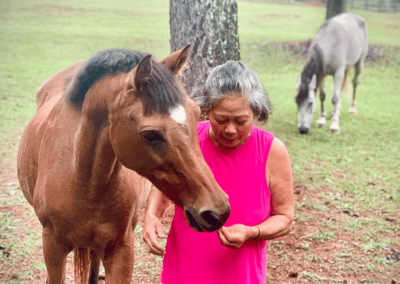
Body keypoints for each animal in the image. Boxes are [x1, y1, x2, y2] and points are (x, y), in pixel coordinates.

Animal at [18, 45, 231, 282]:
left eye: (196, 114)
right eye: (150, 134)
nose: (217, 212)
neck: (82, 181)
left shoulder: (121, 249)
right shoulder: (53, 248)